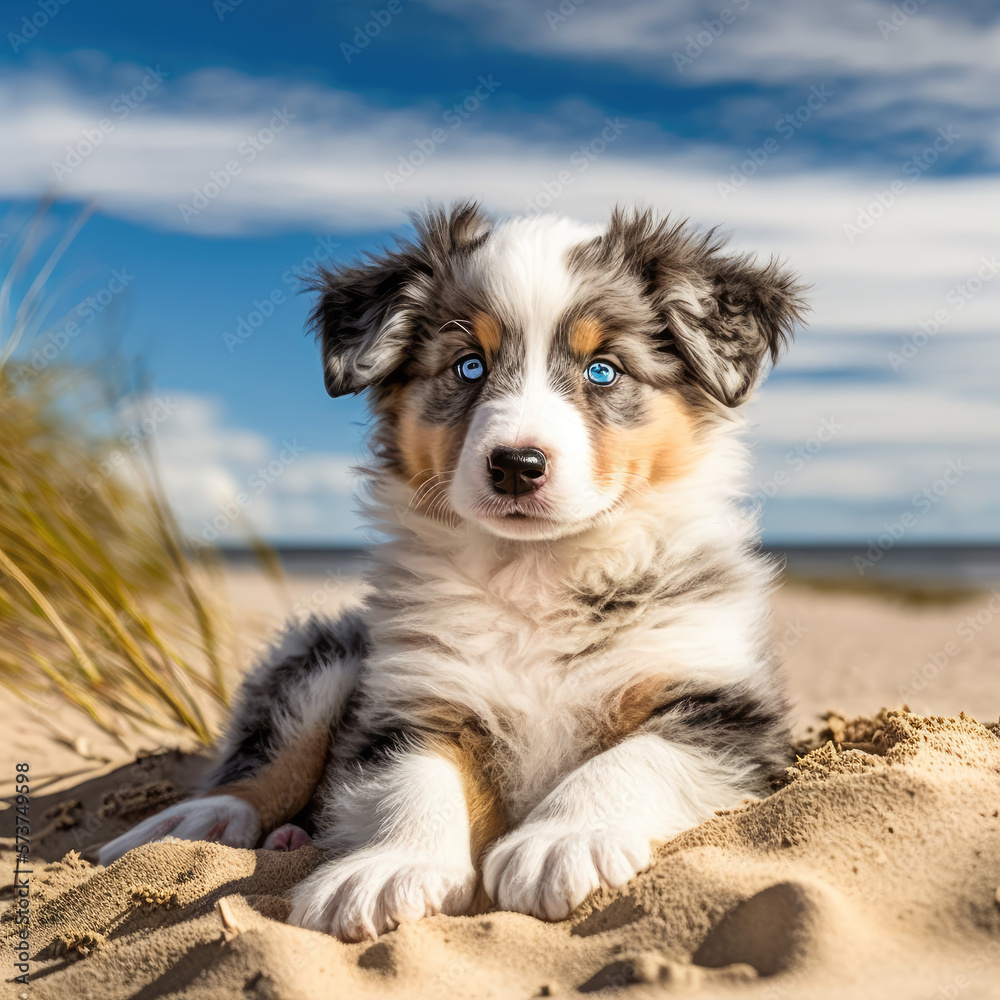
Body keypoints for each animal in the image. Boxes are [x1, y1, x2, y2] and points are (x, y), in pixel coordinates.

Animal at [97, 205, 808, 944]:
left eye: (604, 371)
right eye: (469, 366)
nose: (517, 465)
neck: (536, 574)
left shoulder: (718, 701)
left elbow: (636, 757)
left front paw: (562, 839)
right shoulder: (417, 697)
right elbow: (413, 780)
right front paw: (388, 868)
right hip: (330, 656)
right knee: (270, 756)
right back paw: (201, 820)